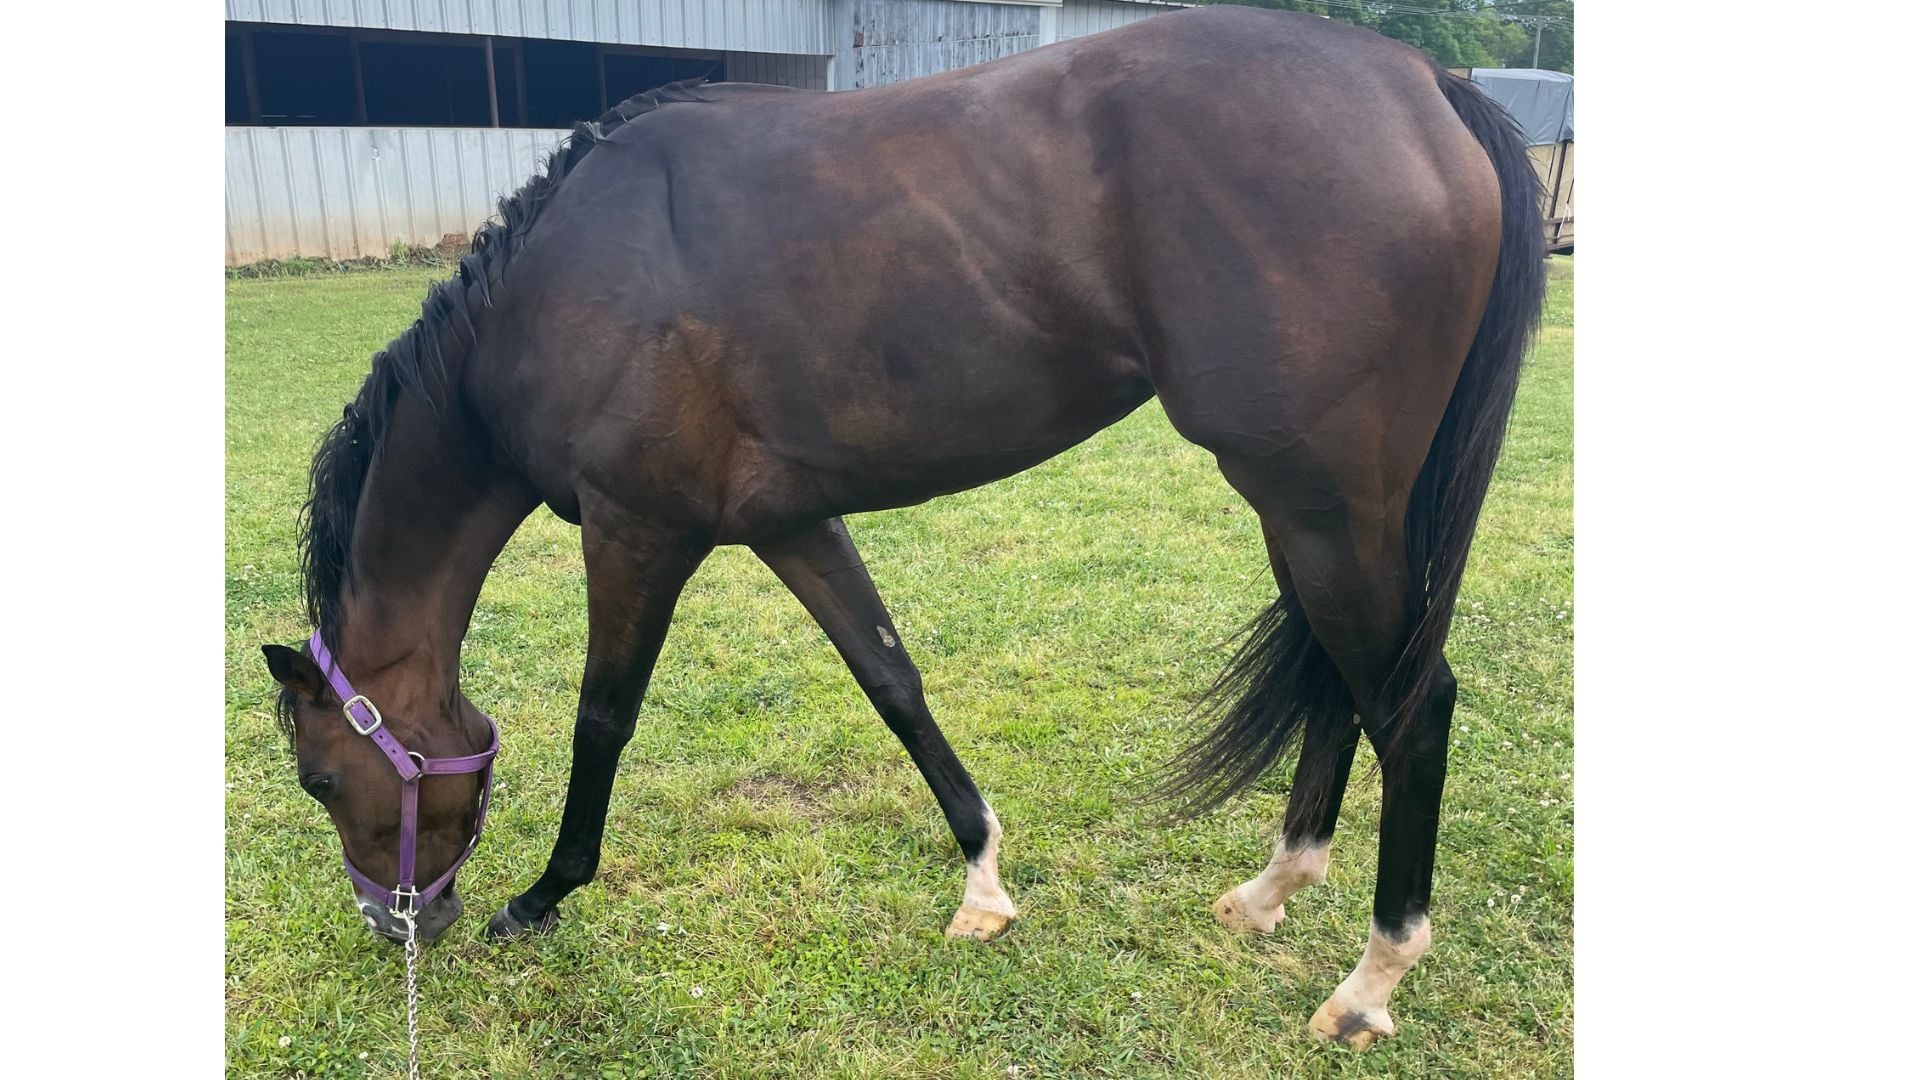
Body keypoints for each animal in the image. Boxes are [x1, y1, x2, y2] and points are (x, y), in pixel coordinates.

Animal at [258, 6, 1544, 1049]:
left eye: (321, 780)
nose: (397, 924)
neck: (554, 294)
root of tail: (1427, 86)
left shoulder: (637, 532)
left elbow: (602, 720)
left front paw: (541, 896)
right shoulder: (792, 522)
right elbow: (892, 680)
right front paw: (982, 881)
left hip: (1321, 508)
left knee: (1412, 705)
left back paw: (1369, 983)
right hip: (1316, 513)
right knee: (1345, 686)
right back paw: (1272, 893)